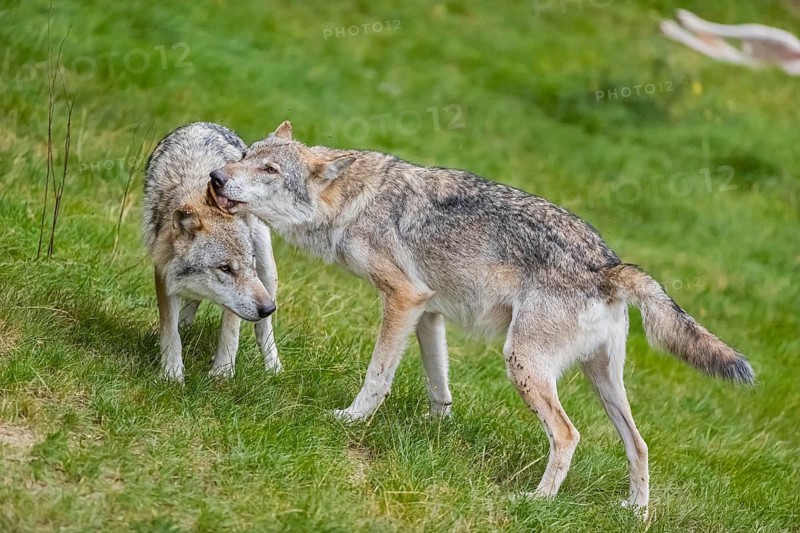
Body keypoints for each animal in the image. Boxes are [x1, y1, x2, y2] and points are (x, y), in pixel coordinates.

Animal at [143, 122, 281, 382]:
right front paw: (172, 374)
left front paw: (222, 374)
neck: (197, 196)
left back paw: (274, 368)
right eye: (225, 268)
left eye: (249, 263)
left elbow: (230, 330)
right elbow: (170, 330)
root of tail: (206, 124)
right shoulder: (163, 273)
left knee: (264, 328)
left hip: (267, 270)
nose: (267, 308)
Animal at [209, 121, 754, 516]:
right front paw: (435, 432)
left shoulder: (402, 299)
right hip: (601, 379)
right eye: (243, 157)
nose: (215, 178)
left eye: (269, 169)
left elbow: (377, 376)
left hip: (523, 364)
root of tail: (609, 265)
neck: (353, 203)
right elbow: (439, 385)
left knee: (568, 435)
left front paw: (350, 420)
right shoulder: (428, 311)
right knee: (639, 446)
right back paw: (635, 513)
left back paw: (536, 502)